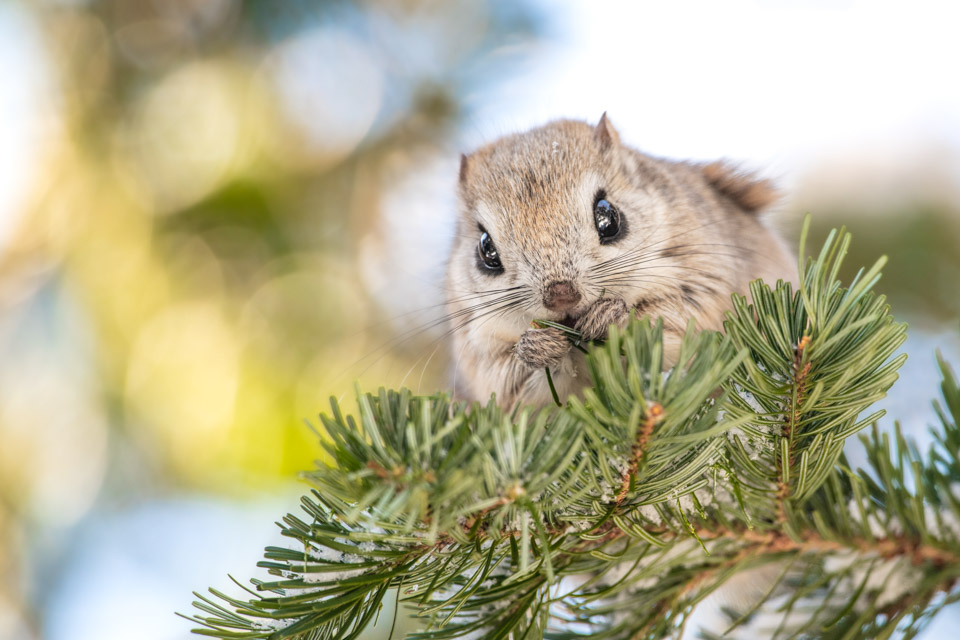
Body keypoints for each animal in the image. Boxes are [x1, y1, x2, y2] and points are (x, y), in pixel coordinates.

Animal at [446, 116, 800, 410]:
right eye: (485, 249)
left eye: (607, 216)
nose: (560, 295)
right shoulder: (479, 352)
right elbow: (509, 382)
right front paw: (536, 347)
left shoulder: (703, 281)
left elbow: (678, 324)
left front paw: (609, 317)